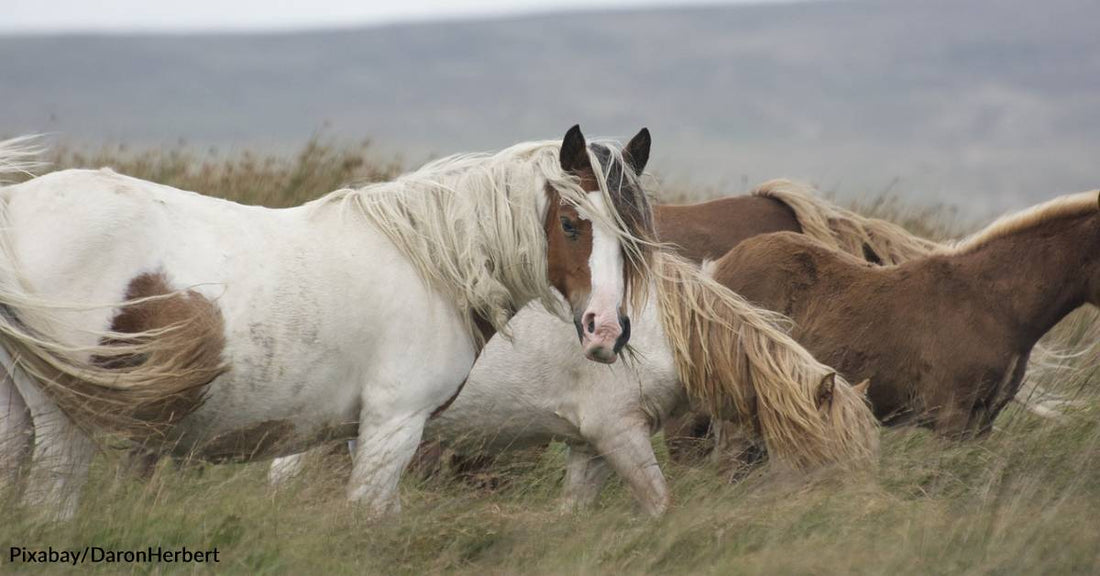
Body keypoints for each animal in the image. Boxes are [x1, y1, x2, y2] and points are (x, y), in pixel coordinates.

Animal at [0, 124, 651, 516]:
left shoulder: (367, 431)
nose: (605, 331)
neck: (430, 261)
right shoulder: (394, 425)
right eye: (570, 223)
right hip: (66, 420)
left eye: (635, 235)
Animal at [270, 253, 880, 514]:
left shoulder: (591, 446)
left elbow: (573, 512)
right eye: (831, 457)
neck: (660, 330)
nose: (867, 514)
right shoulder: (619, 434)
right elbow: (660, 503)